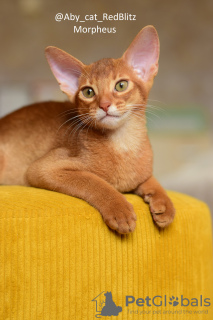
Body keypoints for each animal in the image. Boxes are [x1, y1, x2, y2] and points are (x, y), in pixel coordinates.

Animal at [0, 25, 175, 232]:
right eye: (88, 92)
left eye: (121, 85)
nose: (105, 105)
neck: (123, 144)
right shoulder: (42, 169)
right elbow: (93, 181)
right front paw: (119, 208)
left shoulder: (141, 173)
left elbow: (151, 179)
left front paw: (164, 203)